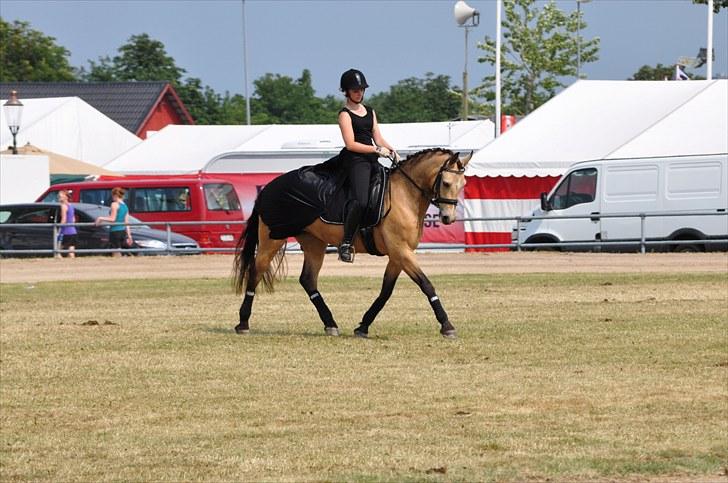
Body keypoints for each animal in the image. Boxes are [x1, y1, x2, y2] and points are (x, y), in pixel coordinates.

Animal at [233, 149, 472, 338]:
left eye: (463, 185)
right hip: (271, 240)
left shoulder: (398, 255)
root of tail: (268, 188)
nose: (448, 218)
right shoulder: (401, 251)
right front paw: (447, 325)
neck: (405, 195)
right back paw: (243, 323)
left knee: (308, 280)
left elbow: (385, 292)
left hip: (314, 243)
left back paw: (330, 324)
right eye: (446, 183)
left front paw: (363, 326)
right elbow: (426, 284)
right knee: (255, 272)